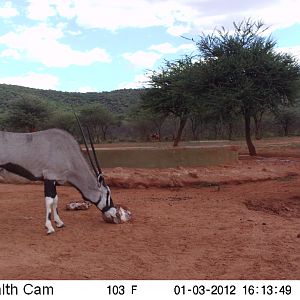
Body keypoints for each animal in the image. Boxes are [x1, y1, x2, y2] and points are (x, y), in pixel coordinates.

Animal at [0, 125, 131, 233]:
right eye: (108, 193)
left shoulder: (55, 180)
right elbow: (49, 201)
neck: (67, 152)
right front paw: (49, 227)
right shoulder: (49, 177)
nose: (114, 212)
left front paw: (59, 223)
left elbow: (56, 200)